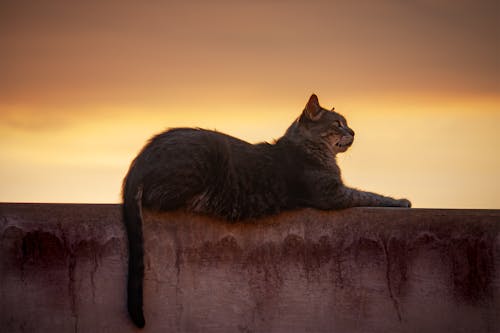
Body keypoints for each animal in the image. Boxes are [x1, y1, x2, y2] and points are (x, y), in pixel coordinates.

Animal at [121, 94, 410, 326]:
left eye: (345, 123)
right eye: (338, 123)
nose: (353, 131)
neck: (314, 152)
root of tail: (139, 161)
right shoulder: (333, 193)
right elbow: (369, 195)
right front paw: (401, 200)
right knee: (158, 197)